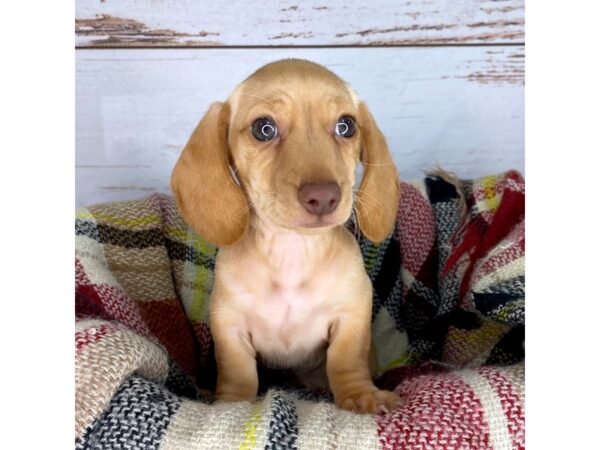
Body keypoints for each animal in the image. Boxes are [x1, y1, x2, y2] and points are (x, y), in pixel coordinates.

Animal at [171, 59, 400, 414]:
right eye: (263, 128)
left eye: (346, 126)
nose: (324, 197)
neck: (293, 251)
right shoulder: (229, 324)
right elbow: (238, 372)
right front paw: (231, 404)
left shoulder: (352, 313)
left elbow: (346, 360)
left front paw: (361, 395)